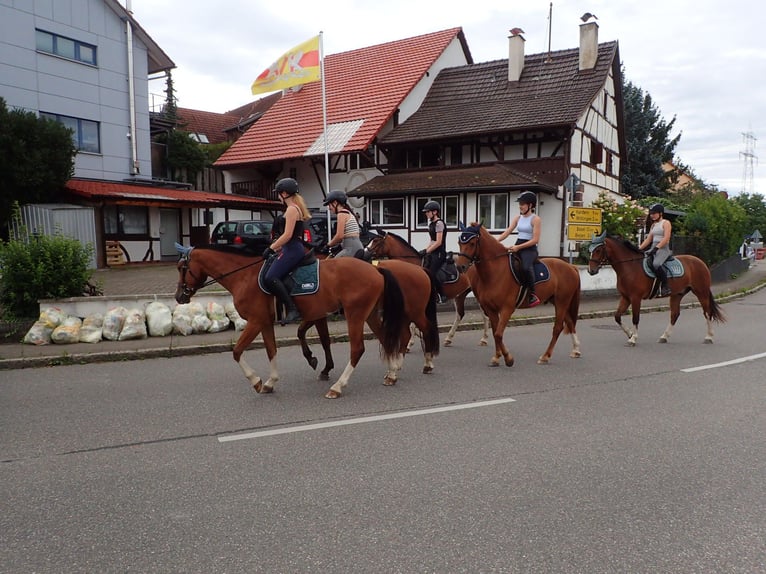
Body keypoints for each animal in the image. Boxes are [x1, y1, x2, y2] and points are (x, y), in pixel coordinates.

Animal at [175, 246, 408, 400]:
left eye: (181, 268)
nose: (179, 296)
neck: (243, 277)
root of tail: (375, 269)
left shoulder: (255, 322)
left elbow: (237, 351)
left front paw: (256, 381)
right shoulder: (265, 323)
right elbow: (271, 350)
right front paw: (270, 382)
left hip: (355, 315)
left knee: (357, 349)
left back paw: (338, 386)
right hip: (368, 314)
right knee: (385, 339)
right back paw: (392, 373)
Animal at [456, 223, 584, 366]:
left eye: (472, 243)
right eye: (459, 242)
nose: (460, 267)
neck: (495, 271)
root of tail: (571, 266)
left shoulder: (507, 309)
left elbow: (498, 334)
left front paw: (508, 358)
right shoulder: (491, 309)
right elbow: (495, 332)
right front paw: (497, 357)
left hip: (562, 302)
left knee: (557, 328)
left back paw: (545, 356)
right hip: (558, 301)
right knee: (570, 322)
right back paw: (576, 350)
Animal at [588, 231, 728, 346]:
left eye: (598, 250)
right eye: (590, 249)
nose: (591, 271)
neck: (630, 266)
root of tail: (700, 262)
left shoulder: (635, 298)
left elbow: (635, 317)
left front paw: (633, 338)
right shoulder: (625, 298)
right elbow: (617, 316)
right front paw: (629, 334)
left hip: (701, 292)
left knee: (707, 312)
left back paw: (709, 337)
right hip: (677, 294)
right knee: (675, 314)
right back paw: (664, 337)